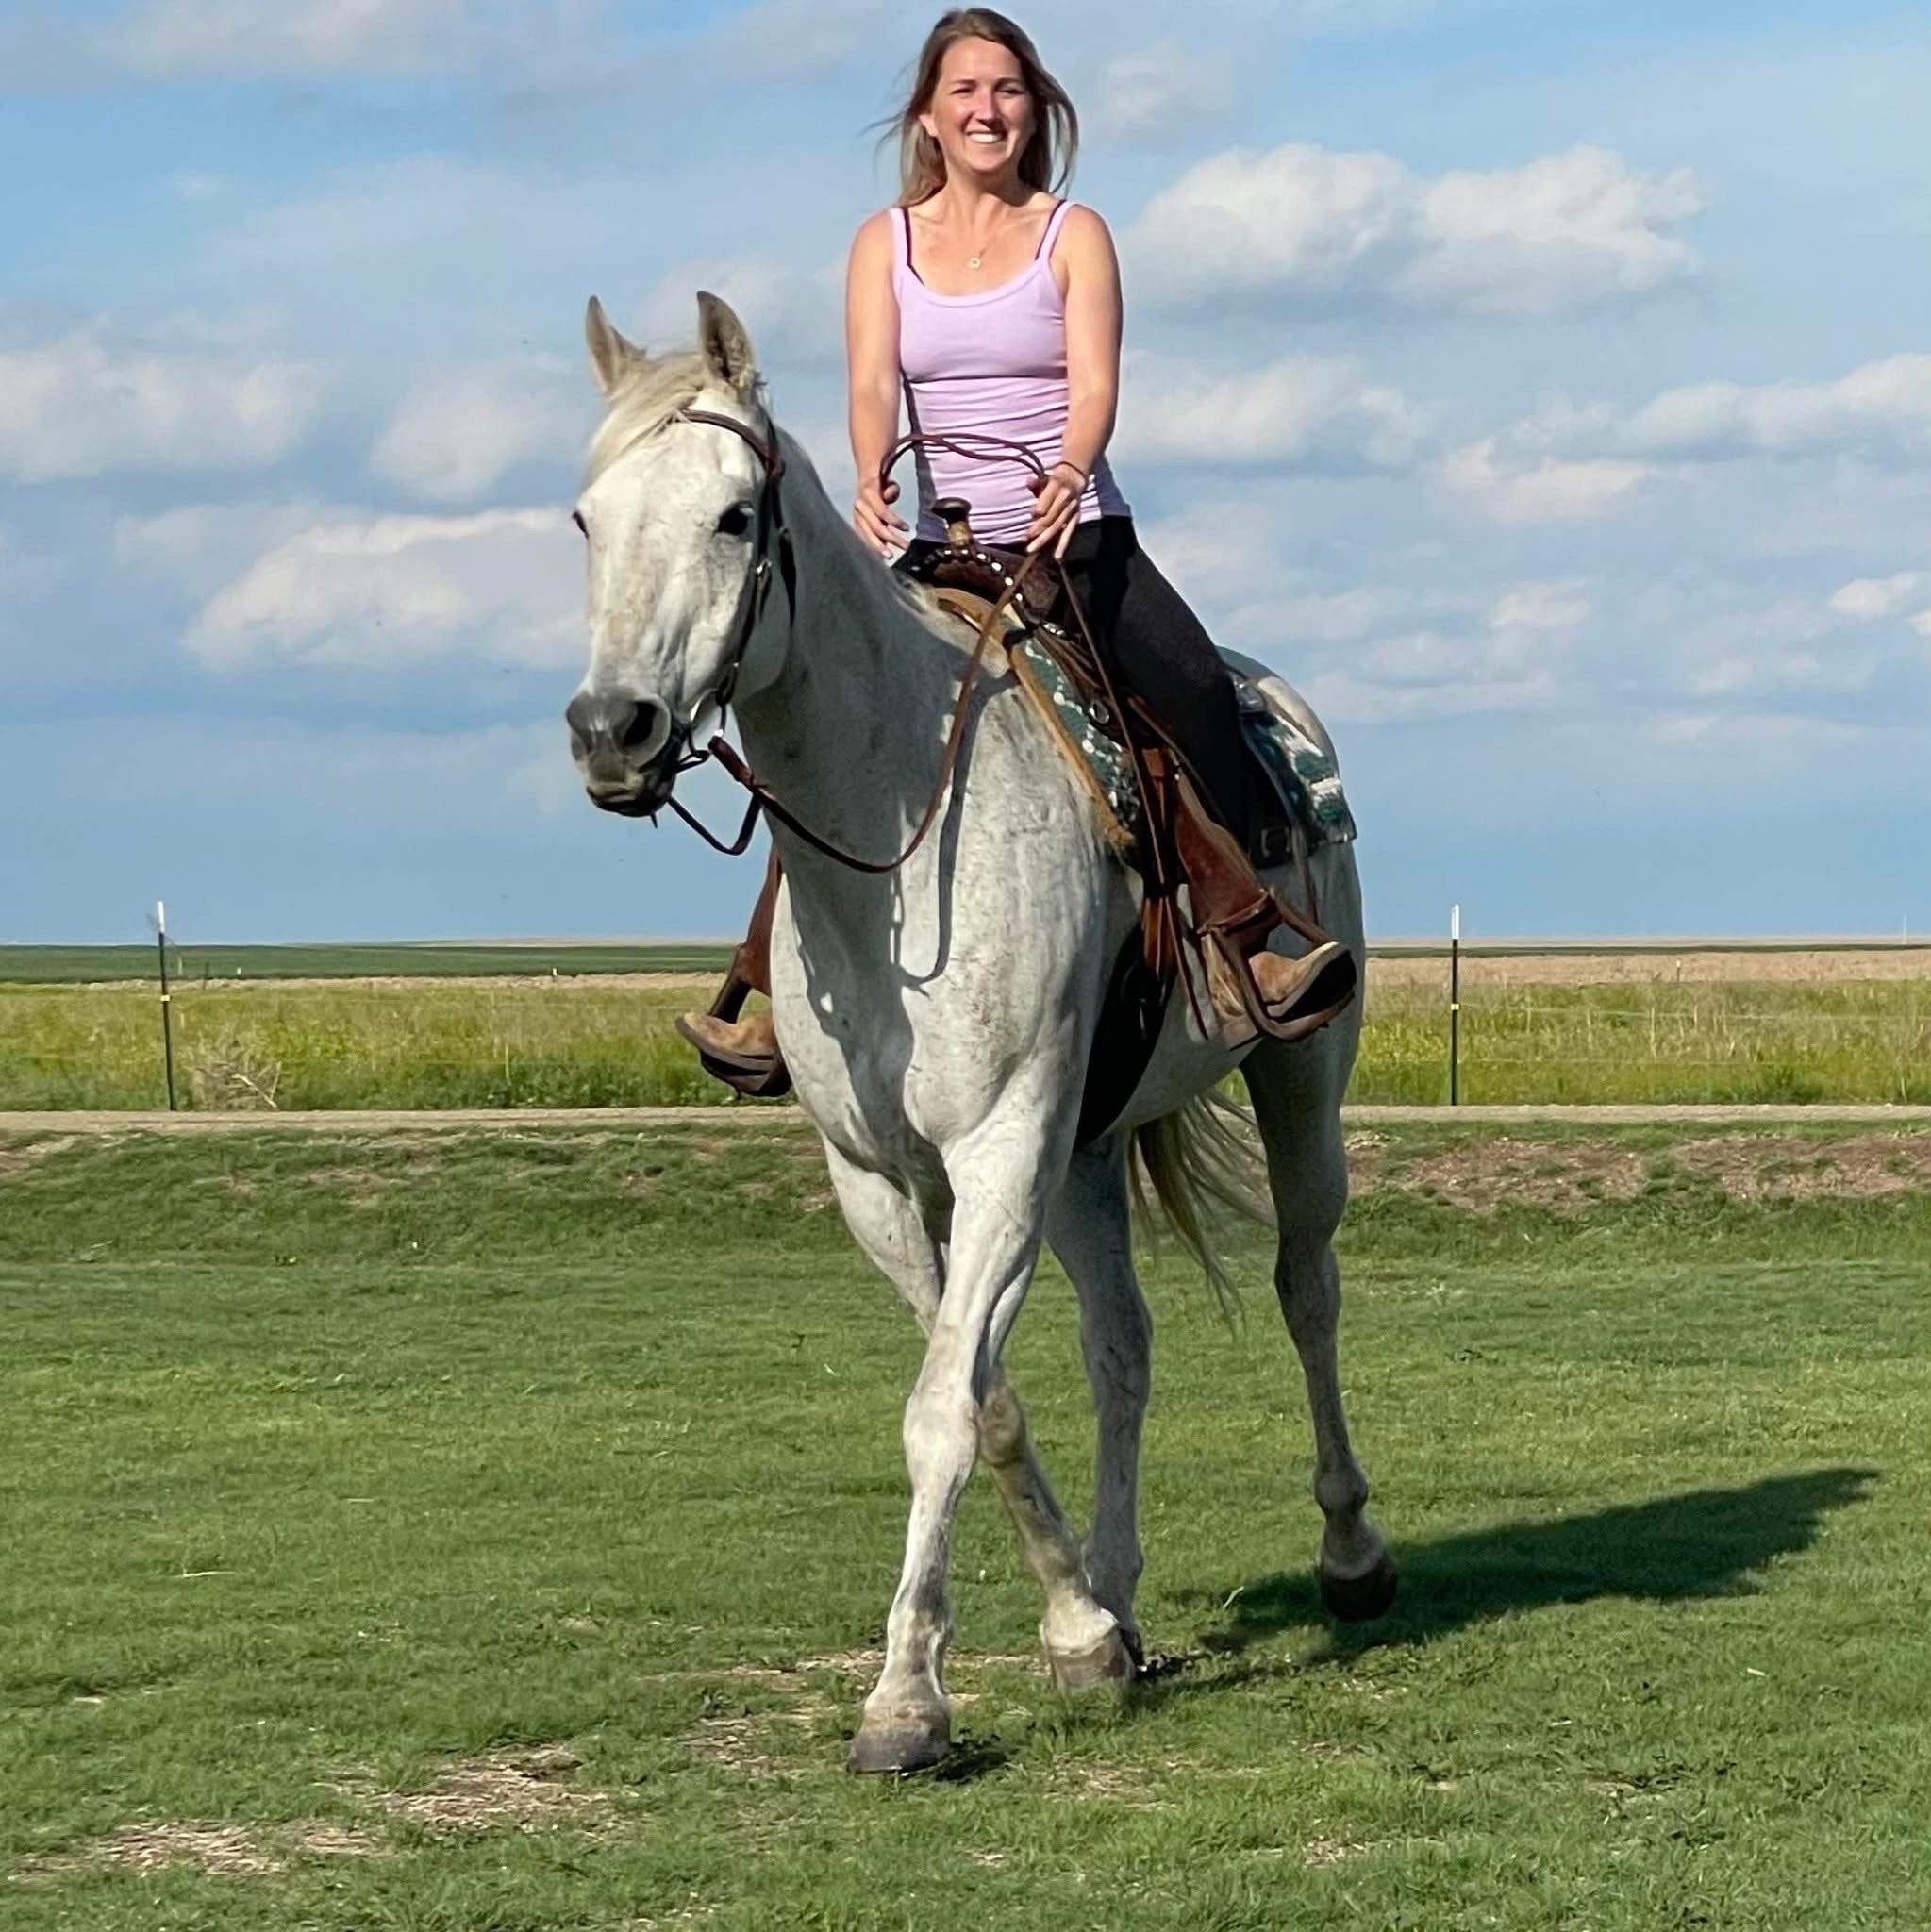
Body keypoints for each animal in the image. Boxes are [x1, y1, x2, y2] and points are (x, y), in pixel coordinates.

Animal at [564, 291, 1396, 1775]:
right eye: (587, 518)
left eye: (732, 514)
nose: (614, 728)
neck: (894, 836)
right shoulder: (885, 1177)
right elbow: (986, 1393)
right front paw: (1075, 1630)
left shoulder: (1002, 1144)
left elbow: (941, 1405)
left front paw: (904, 1702)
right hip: (1087, 1144)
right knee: (1121, 1338)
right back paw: (1120, 1596)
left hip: (1298, 1072)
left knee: (1306, 1286)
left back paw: (1351, 1552)